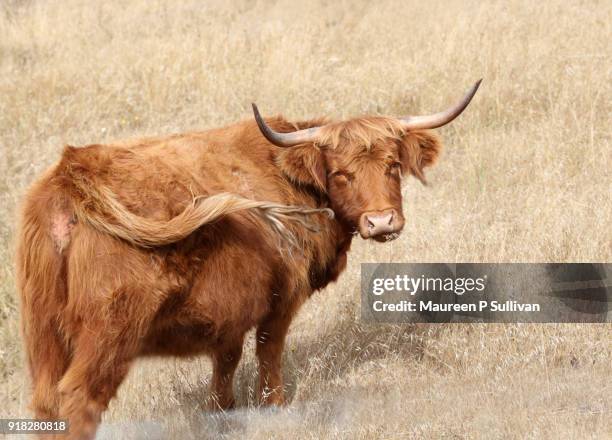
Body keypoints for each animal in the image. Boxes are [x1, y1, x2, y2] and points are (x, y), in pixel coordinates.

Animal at [16, 81, 480, 438]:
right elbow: (268, 352)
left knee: (45, 402)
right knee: (79, 400)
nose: (382, 221)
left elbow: (225, 363)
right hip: (109, 331)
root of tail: (72, 177)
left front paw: (223, 413)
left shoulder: (228, 311)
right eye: (340, 173)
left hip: (43, 334)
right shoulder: (281, 297)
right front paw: (274, 406)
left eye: (392, 165)